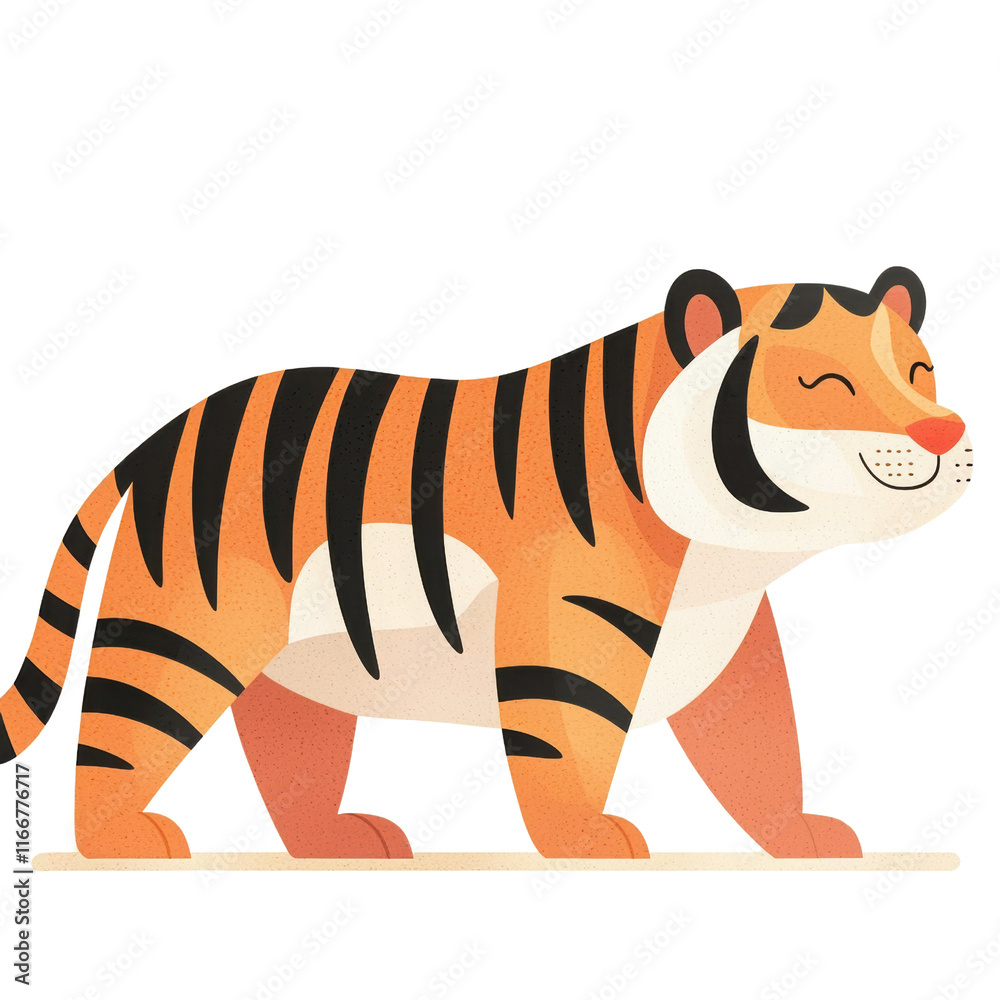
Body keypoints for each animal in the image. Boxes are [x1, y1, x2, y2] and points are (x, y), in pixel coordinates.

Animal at [0, 266, 971, 861]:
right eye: (824, 386)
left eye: (920, 372)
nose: (945, 431)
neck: (723, 553)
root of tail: (161, 435)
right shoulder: (571, 627)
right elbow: (569, 741)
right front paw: (586, 840)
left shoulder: (730, 648)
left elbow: (762, 751)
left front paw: (800, 834)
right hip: (180, 637)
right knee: (119, 733)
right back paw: (126, 842)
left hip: (299, 663)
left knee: (287, 747)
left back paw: (339, 841)